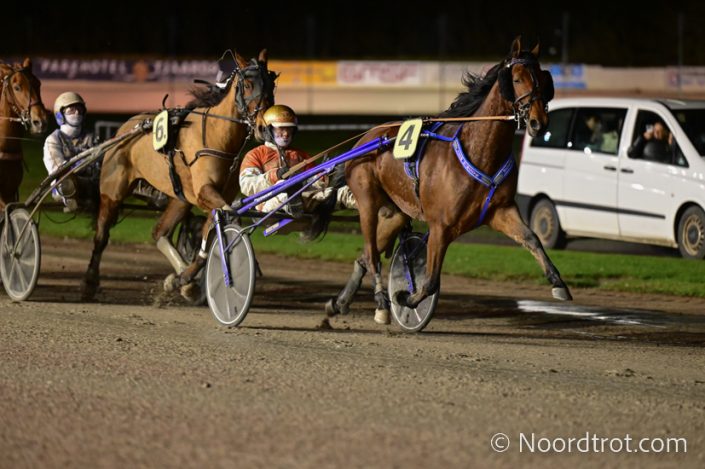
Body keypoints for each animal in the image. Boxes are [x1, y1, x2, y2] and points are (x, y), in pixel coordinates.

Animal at [81, 49, 276, 301]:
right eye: (249, 84)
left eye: (271, 84)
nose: (265, 128)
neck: (217, 135)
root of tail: (127, 126)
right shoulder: (205, 192)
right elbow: (219, 222)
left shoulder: (215, 195)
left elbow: (212, 231)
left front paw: (183, 279)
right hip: (112, 191)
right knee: (101, 235)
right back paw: (89, 282)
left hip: (179, 198)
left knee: (160, 232)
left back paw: (182, 277)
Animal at [325, 37, 572, 325]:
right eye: (518, 78)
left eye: (544, 79)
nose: (538, 122)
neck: (480, 153)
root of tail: (365, 139)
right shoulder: (441, 226)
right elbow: (431, 280)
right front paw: (406, 298)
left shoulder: (501, 211)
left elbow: (532, 238)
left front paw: (558, 283)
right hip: (367, 203)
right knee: (373, 256)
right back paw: (382, 304)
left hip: (394, 213)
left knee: (365, 257)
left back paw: (339, 303)